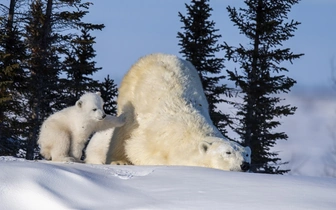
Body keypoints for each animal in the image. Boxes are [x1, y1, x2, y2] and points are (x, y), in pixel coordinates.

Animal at [90, 53, 251, 171]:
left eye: (247, 154)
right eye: (227, 152)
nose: (245, 165)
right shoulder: (151, 143)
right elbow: (136, 149)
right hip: (130, 97)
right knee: (121, 133)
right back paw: (118, 161)